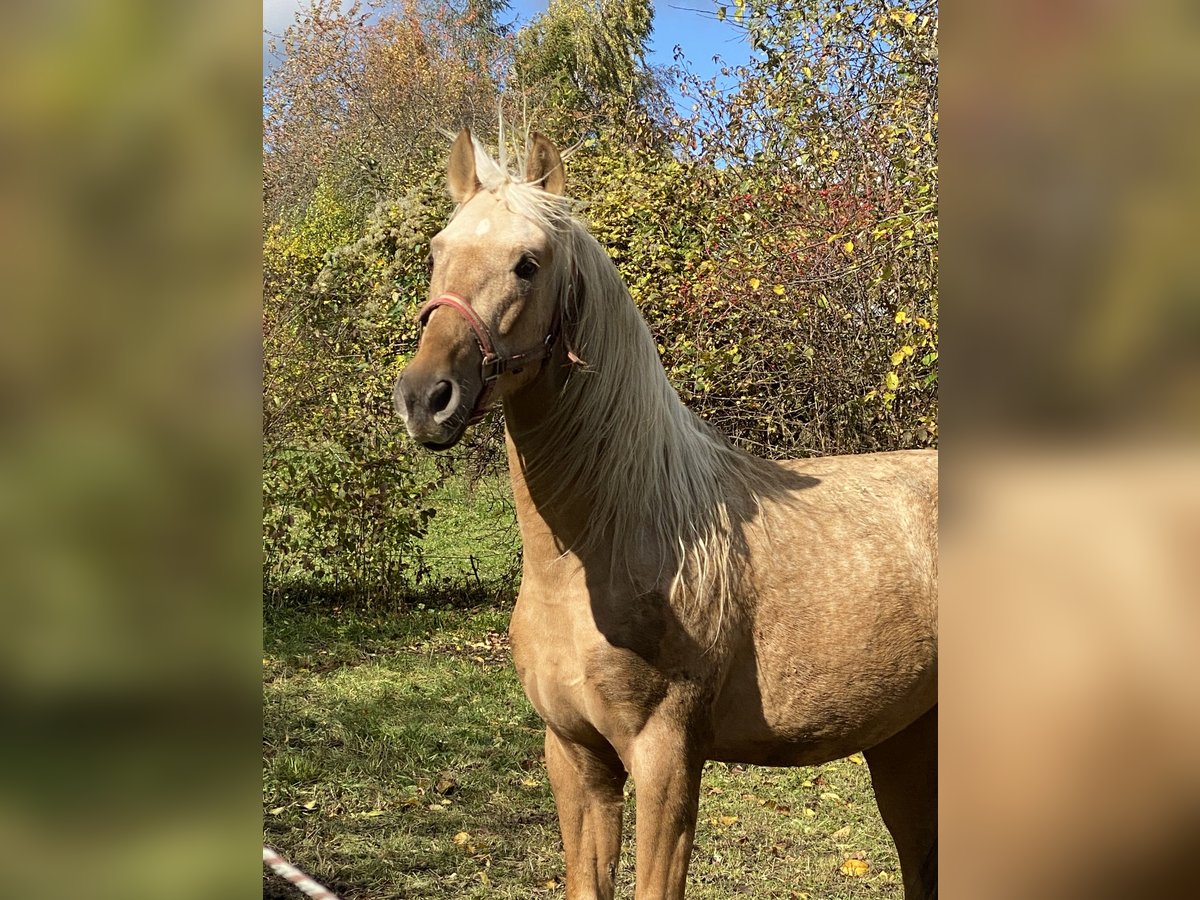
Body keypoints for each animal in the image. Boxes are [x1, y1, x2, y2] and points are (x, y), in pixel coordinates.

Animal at [394, 130, 938, 900]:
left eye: (528, 263)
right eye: (437, 252)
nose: (424, 398)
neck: (609, 542)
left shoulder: (666, 759)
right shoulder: (576, 758)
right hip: (905, 740)